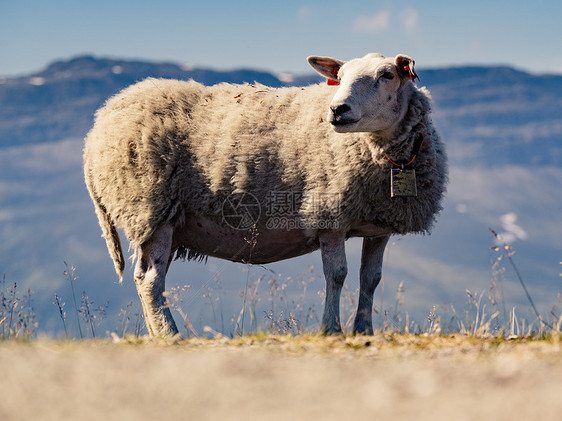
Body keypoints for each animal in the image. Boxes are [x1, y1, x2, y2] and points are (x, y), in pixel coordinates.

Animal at [83, 52, 446, 336]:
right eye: (339, 77)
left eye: (387, 75)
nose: (337, 110)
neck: (382, 153)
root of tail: (97, 125)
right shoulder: (327, 213)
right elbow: (337, 275)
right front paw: (332, 329)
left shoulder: (378, 225)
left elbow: (371, 279)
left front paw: (364, 331)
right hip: (149, 207)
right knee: (150, 281)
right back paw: (170, 335)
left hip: (166, 219)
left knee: (143, 278)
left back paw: (155, 334)